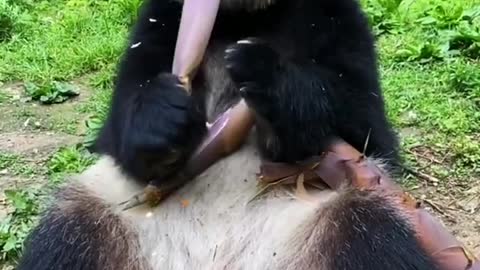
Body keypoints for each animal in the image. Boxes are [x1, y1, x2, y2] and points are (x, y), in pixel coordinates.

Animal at [15, 0, 438, 268]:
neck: (243, 17)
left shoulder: (338, 23)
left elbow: (364, 125)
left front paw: (264, 74)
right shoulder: (161, 22)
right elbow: (120, 128)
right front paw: (165, 116)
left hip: (336, 212)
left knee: (376, 240)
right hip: (106, 213)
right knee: (67, 241)